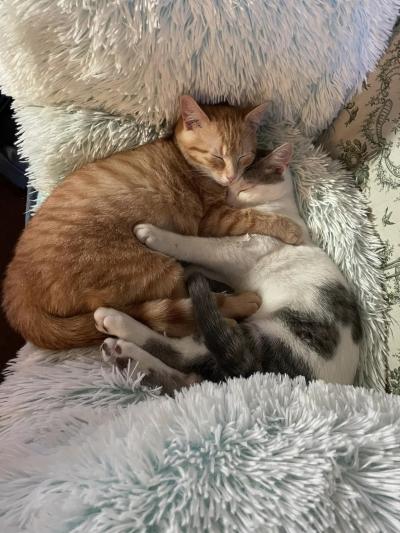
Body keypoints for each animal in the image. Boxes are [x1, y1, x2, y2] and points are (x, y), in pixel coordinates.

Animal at [2, 96, 300, 350]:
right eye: (217, 157)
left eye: (244, 157)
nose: (231, 178)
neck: (189, 163)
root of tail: (17, 288)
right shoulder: (214, 218)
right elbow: (254, 217)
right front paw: (292, 229)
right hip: (158, 271)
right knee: (181, 311)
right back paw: (236, 308)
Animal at [94, 143, 362, 392]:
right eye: (225, 187)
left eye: (244, 188)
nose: (229, 198)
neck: (279, 206)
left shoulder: (239, 249)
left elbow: (197, 245)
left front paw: (156, 235)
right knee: (189, 373)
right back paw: (120, 351)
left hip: (264, 338)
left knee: (183, 353)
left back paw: (115, 324)